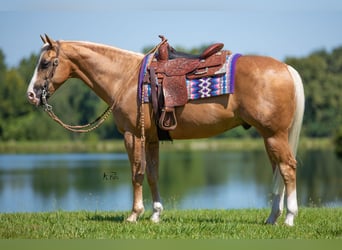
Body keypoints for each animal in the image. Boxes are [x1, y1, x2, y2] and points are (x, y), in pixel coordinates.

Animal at [26, 34, 304, 225]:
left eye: (45, 63)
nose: (31, 95)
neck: (125, 77)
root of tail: (286, 68)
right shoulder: (151, 139)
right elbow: (152, 175)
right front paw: (156, 215)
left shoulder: (132, 136)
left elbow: (136, 174)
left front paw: (134, 215)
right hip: (269, 137)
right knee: (277, 172)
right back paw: (272, 218)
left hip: (274, 135)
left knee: (288, 169)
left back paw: (290, 218)